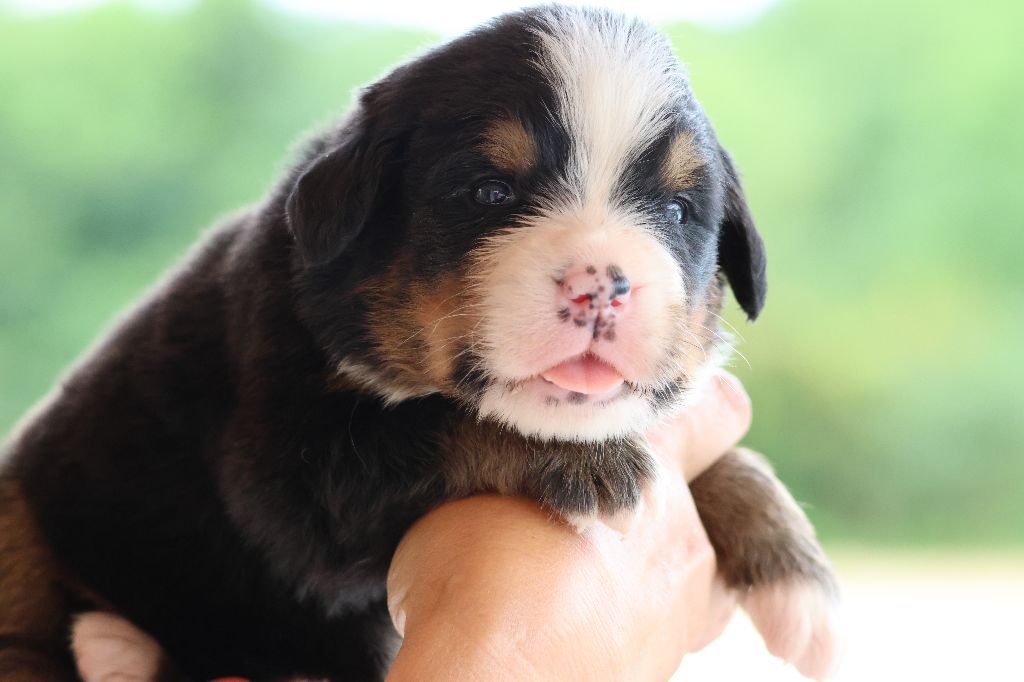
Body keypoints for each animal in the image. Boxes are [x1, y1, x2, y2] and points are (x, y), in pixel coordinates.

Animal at [0, 6, 835, 679]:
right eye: (491, 193)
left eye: (677, 211)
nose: (603, 284)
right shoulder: (288, 466)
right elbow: (439, 426)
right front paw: (588, 462)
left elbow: (732, 458)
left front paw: (800, 587)